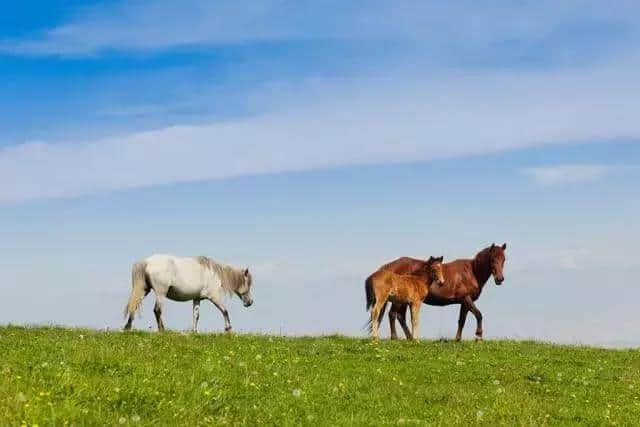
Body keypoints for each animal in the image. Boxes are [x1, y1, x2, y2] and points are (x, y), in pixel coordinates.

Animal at [122, 254, 252, 334]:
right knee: (157, 310)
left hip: (145, 290)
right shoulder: (214, 297)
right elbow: (224, 311)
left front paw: (194, 331)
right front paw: (228, 329)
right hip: (160, 293)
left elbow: (196, 315)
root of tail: (147, 262)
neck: (214, 273)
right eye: (248, 283)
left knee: (134, 306)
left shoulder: (197, 298)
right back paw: (162, 330)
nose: (250, 302)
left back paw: (127, 327)